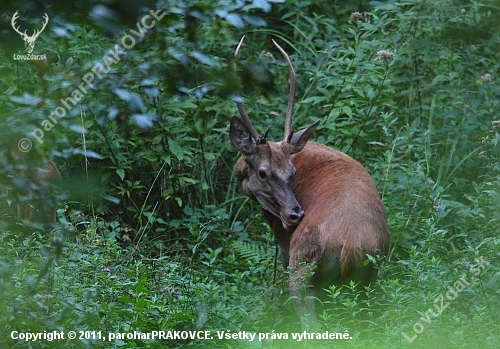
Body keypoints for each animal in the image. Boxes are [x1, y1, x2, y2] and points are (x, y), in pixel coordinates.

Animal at [229, 36, 388, 328]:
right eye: (265, 173)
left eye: (292, 172)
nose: (295, 214)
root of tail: (351, 245)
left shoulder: (286, 251)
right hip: (370, 276)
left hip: (302, 268)